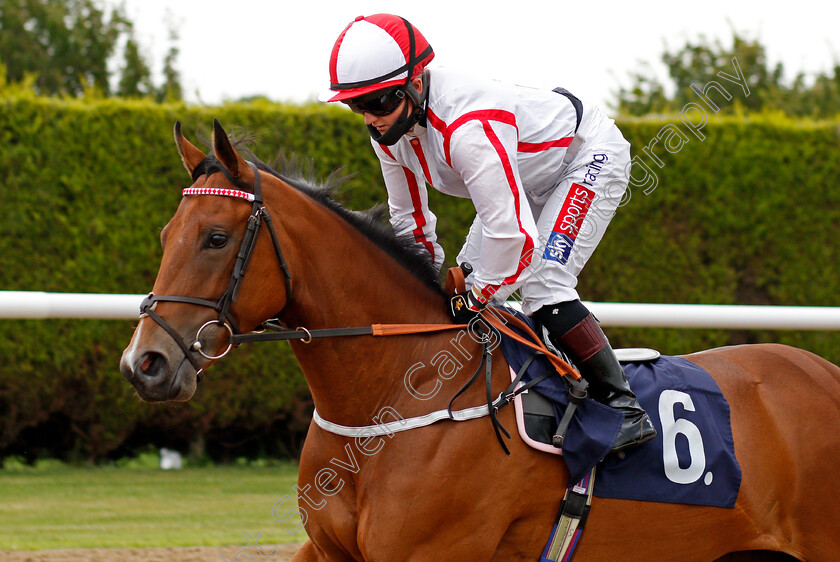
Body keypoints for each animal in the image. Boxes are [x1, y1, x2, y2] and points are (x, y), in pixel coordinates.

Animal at [121, 120, 840, 556]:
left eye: (216, 238)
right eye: (165, 234)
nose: (144, 363)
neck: (392, 394)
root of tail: (822, 372)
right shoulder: (330, 548)